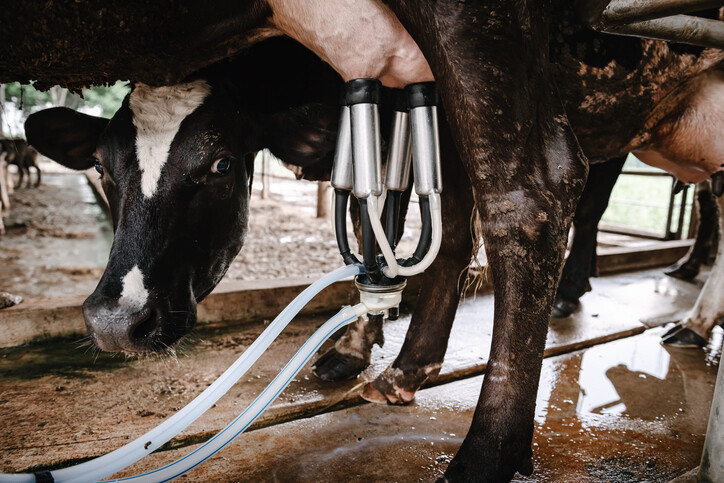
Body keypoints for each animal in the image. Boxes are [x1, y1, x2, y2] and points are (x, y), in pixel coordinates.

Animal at [22, 1, 724, 482]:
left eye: (220, 165)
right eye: (103, 168)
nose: (116, 321)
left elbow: (400, 214)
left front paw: (376, 345)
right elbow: (400, 219)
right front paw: (379, 350)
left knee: (535, 194)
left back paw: (490, 451)